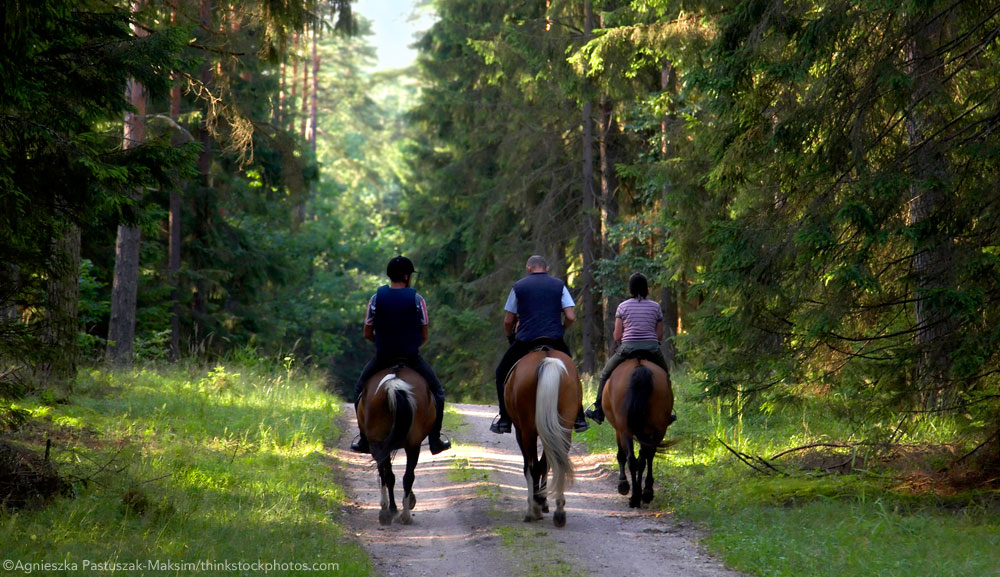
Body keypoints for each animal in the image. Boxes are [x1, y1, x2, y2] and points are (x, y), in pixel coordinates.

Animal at [356, 366, 434, 524]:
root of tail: (393, 384)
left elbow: (388, 475)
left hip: (378, 443)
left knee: (386, 474)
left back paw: (387, 510)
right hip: (413, 444)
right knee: (407, 477)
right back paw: (404, 515)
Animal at [504, 346, 584, 528]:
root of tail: (547, 358)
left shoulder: (520, 431)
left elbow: (530, 466)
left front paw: (538, 502)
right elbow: (545, 464)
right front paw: (543, 500)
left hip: (528, 431)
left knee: (533, 466)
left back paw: (533, 510)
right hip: (564, 426)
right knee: (557, 461)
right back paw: (559, 512)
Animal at [600, 360, 672, 508]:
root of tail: (640, 368)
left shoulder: (619, 430)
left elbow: (621, 455)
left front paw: (623, 484)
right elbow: (643, 458)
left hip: (625, 429)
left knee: (632, 459)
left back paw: (634, 497)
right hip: (659, 428)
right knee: (647, 457)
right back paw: (646, 493)